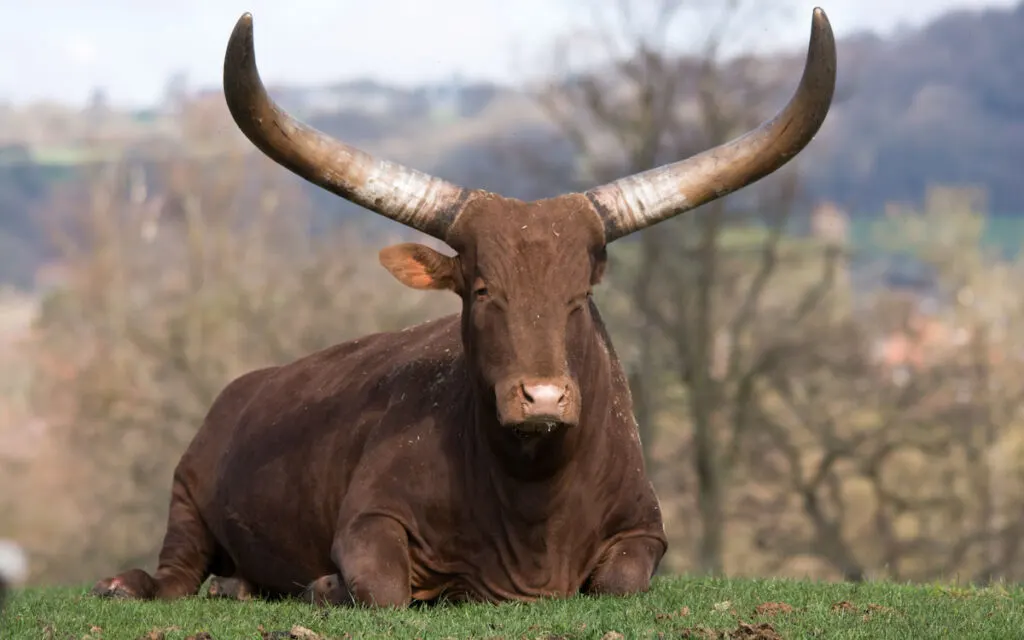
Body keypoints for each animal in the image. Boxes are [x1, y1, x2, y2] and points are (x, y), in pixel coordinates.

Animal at [92, 7, 835, 606]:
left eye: (580, 296)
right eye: (481, 291)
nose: (542, 398)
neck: (531, 493)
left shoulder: (644, 529)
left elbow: (621, 580)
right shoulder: (368, 517)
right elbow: (381, 585)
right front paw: (328, 585)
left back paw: (239, 586)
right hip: (186, 494)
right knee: (175, 573)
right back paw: (137, 584)